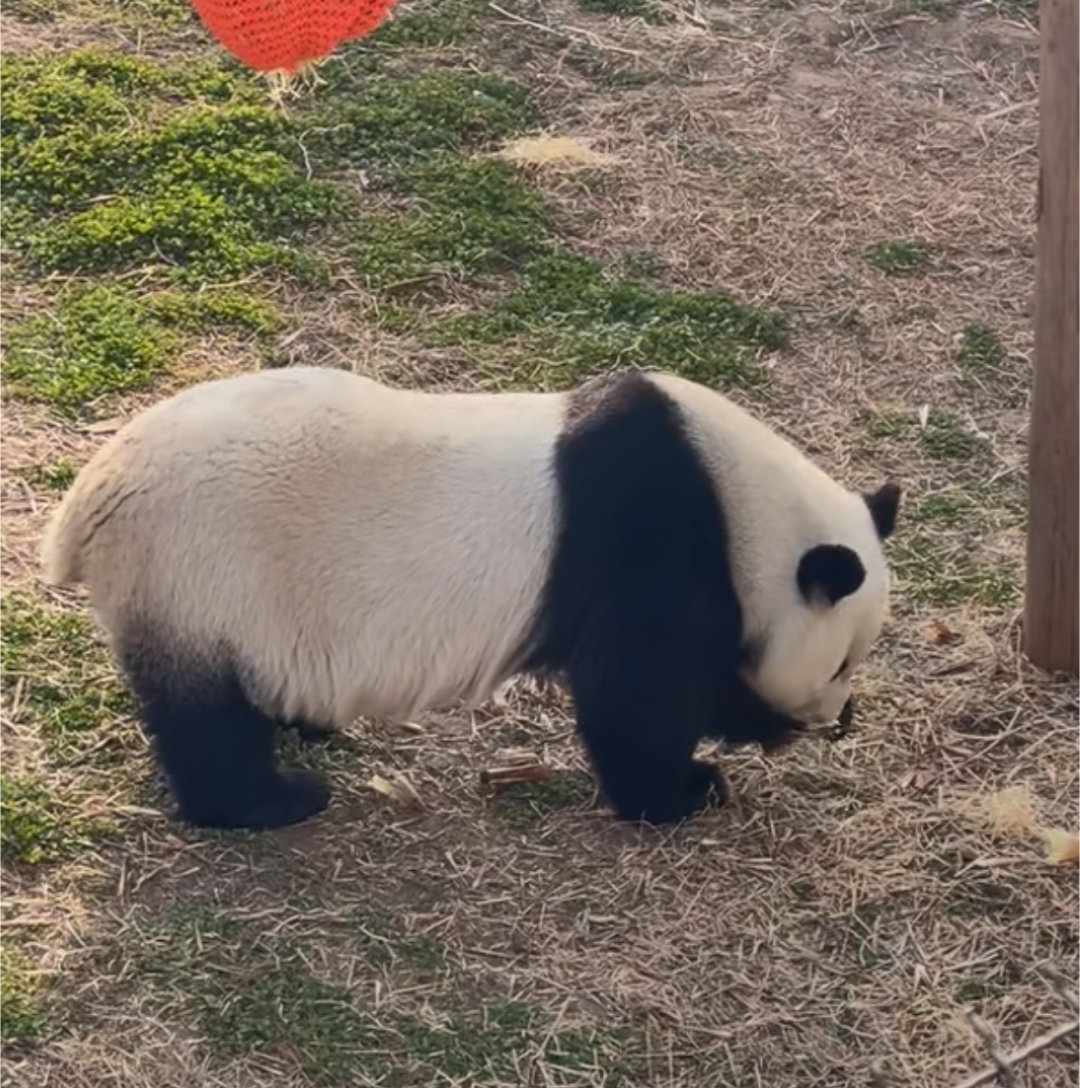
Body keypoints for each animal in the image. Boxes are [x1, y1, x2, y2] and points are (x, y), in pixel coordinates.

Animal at [39, 367, 900, 831]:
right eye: (840, 661)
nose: (841, 718)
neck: (741, 506)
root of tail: (86, 507)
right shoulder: (645, 539)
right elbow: (638, 691)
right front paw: (696, 782)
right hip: (201, 571)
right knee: (206, 719)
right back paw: (273, 801)